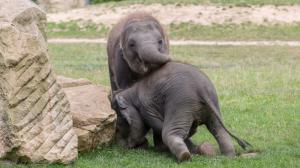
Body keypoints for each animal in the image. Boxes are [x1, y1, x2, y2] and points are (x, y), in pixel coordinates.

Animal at [112, 61, 251, 161]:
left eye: (118, 125)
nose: (122, 147)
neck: (130, 90)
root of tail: (200, 88)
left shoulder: (146, 108)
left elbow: (152, 126)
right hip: (212, 103)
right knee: (218, 130)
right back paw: (228, 155)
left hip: (180, 102)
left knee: (169, 132)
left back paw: (185, 157)